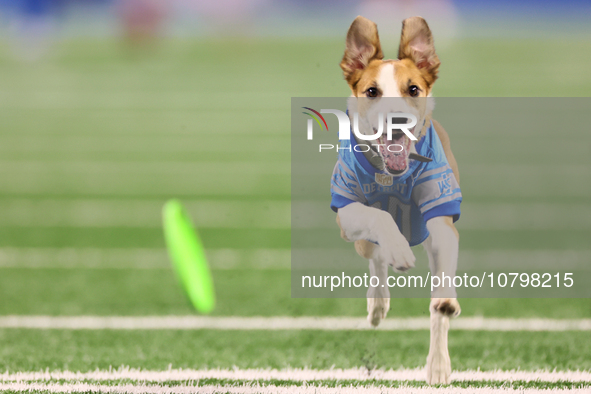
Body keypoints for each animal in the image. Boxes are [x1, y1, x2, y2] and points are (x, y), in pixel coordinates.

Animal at [332, 16, 462, 384]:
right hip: (359, 239)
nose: (398, 121)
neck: (394, 174)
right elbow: (379, 217)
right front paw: (399, 251)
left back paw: (437, 365)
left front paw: (445, 303)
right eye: (371, 91)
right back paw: (378, 303)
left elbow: (443, 276)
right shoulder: (345, 211)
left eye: (413, 89)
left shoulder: (441, 208)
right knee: (374, 256)